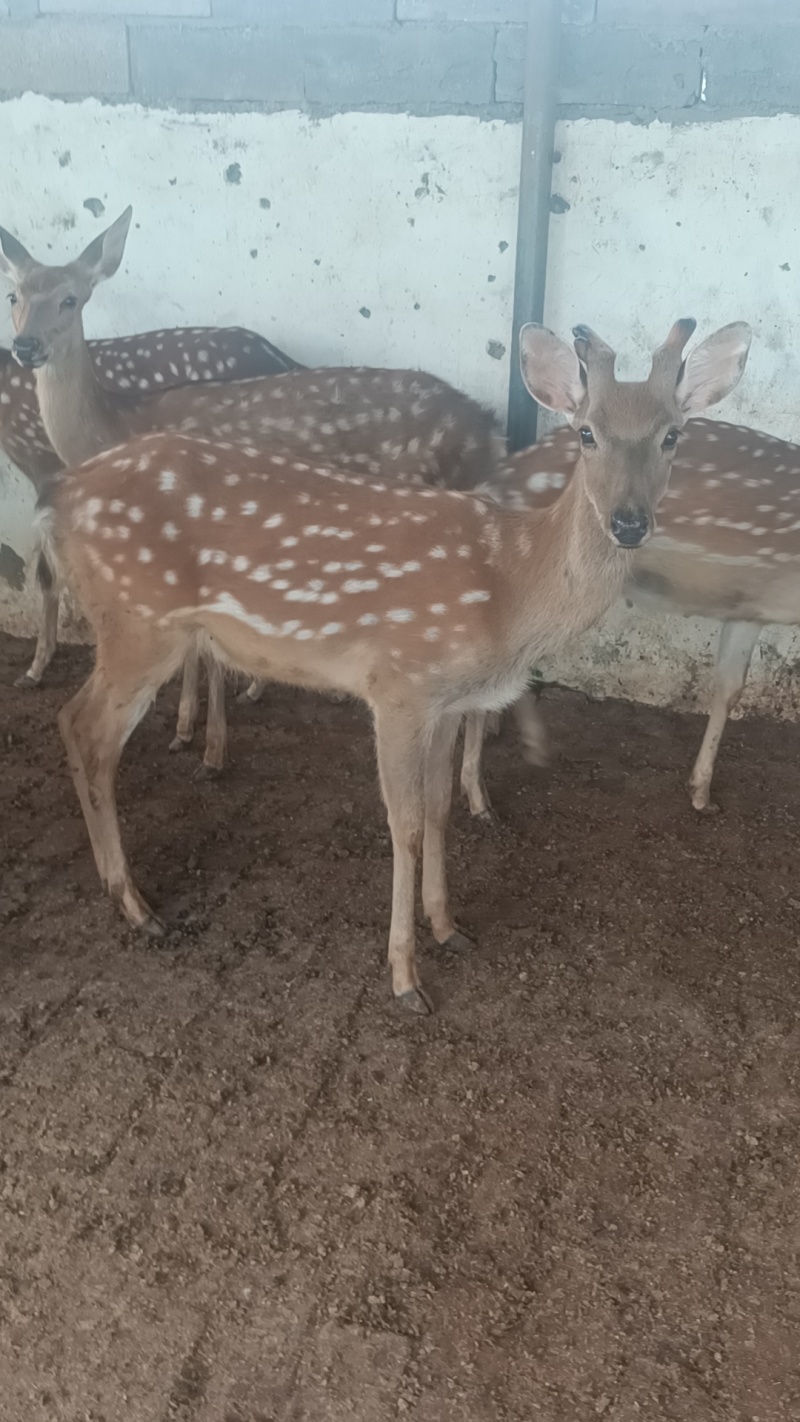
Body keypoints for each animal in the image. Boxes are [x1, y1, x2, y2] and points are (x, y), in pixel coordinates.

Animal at [0, 207, 499, 773]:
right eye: (14, 294)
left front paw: (207, 745)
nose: (26, 346)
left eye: (71, 298)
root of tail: (489, 432)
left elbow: (209, 651)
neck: (116, 427)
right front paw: (188, 729)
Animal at [37, 316, 749, 1012]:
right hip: (138, 621)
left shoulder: (449, 700)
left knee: (72, 721)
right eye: (587, 433)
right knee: (84, 727)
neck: (509, 586)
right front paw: (407, 978)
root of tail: (60, 494)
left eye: (672, 436)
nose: (629, 522)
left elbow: (438, 810)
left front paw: (449, 927)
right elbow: (402, 825)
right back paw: (136, 905)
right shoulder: (399, 683)